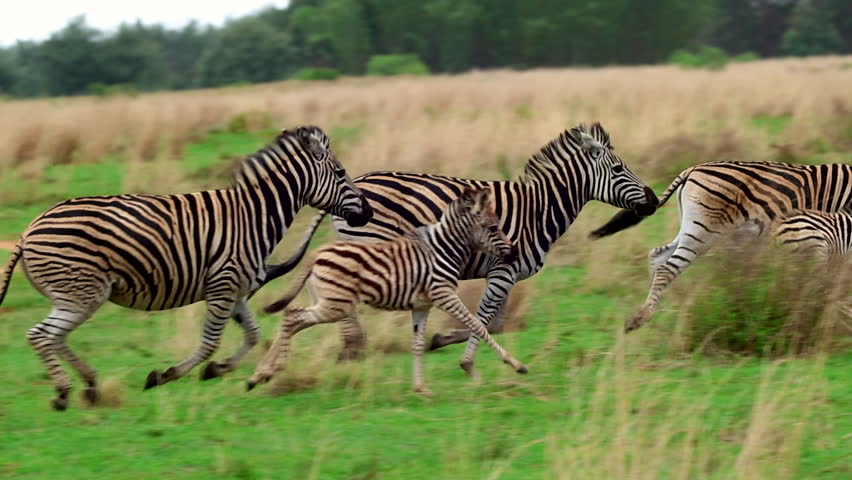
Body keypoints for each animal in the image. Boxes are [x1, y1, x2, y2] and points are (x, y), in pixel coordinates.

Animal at [0, 125, 373, 410]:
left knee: (55, 336)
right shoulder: (223, 285)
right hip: (81, 292)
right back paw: (63, 393)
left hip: (74, 295)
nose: (367, 212)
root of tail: (29, 230)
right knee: (42, 335)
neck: (254, 215)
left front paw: (218, 370)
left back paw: (89, 384)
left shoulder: (234, 289)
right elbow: (210, 342)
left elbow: (252, 334)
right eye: (341, 173)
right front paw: (166, 375)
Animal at [247, 188, 525, 395]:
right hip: (336, 305)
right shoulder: (444, 295)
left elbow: (417, 343)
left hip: (327, 302)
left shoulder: (422, 305)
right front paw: (514, 365)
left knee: (293, 321)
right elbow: (478, 325)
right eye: (493, 228)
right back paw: (268, 370)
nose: (514, 254)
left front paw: (420, 388)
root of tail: (316, 253)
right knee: (292, 315)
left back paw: (261, 374)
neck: (444, 249)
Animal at [260, 123, 658, 376]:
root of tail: (356, 183)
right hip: (374, 244)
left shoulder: (507, 273)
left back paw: (348, 348)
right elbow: (484, 319)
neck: (539, 209)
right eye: (618, 169)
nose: (654, 200)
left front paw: (439, 340)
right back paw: (352, 348)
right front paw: (465, 359)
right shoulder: (502, 270)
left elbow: (492, 323)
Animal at [589, 160, 852, 333]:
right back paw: (643, 316)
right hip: (703, 232)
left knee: (657, 256)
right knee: (668, 268)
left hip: (691, 228)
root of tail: (691, 169)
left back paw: (653, 310)